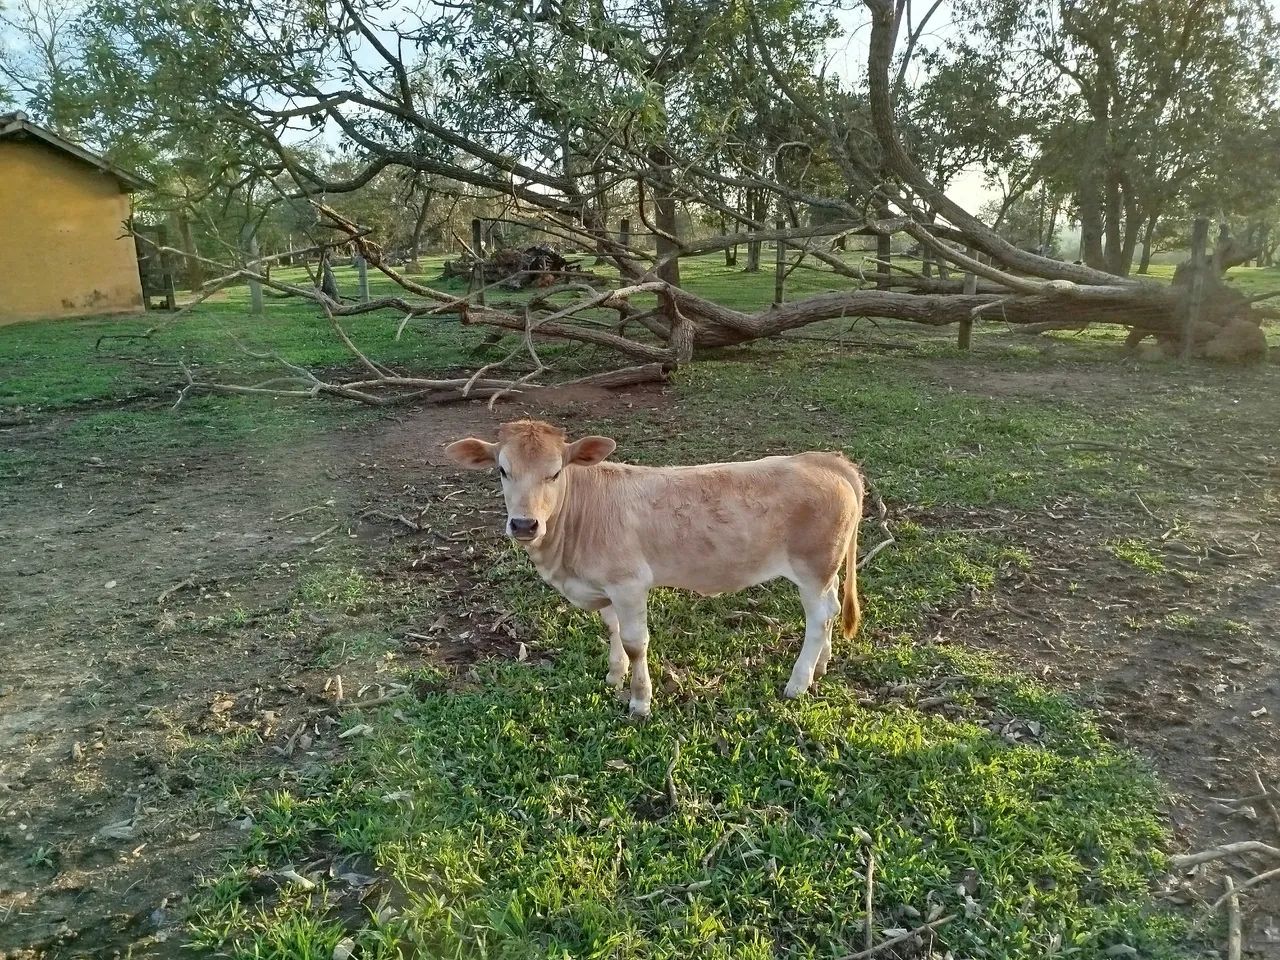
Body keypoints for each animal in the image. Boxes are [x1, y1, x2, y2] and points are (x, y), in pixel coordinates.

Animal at [445, 419, 865, 718]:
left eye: (556, 472)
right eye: (502, 471)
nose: (524, 525)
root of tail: (823, 460)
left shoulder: (629, 583)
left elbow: (635, 642)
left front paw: (640, 701)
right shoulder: (606, 587)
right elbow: (612, 629)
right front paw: (614, 676)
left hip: (812, 567)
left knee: (819, 617)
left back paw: (798, 682)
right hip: (825, 570)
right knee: (831, 609)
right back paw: (821, 667)